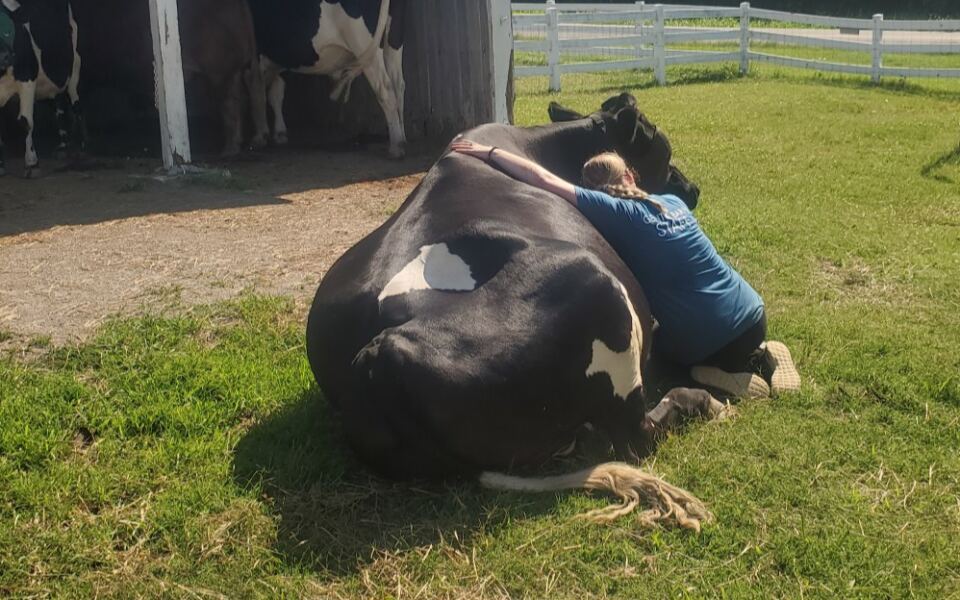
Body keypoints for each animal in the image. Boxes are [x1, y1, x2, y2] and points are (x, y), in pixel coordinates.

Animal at [0, 0, 82, 178]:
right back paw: (63, 147)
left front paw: (32, 163)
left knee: (76, 104)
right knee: (59, 108)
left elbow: (25, 122)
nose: (5, 56)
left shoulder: (28, 77)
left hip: (74, 68)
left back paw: (82, 143)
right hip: (50, 84)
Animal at [247, 0, 407, 158]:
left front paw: (260, 136)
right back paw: (403, 137)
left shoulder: (253, 54)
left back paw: (396, 145)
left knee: (385, 88)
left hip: (363, 42)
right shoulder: (279, 61)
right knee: (398, 85)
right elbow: (275, 93)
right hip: (393, 41)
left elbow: (256, 93)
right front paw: (279, 133)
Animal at [305, 94, 724, 531]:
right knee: (635, 436)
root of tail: (372, 360)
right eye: (664, 152)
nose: (692, 188)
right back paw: (699, 401)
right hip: (595, 284)